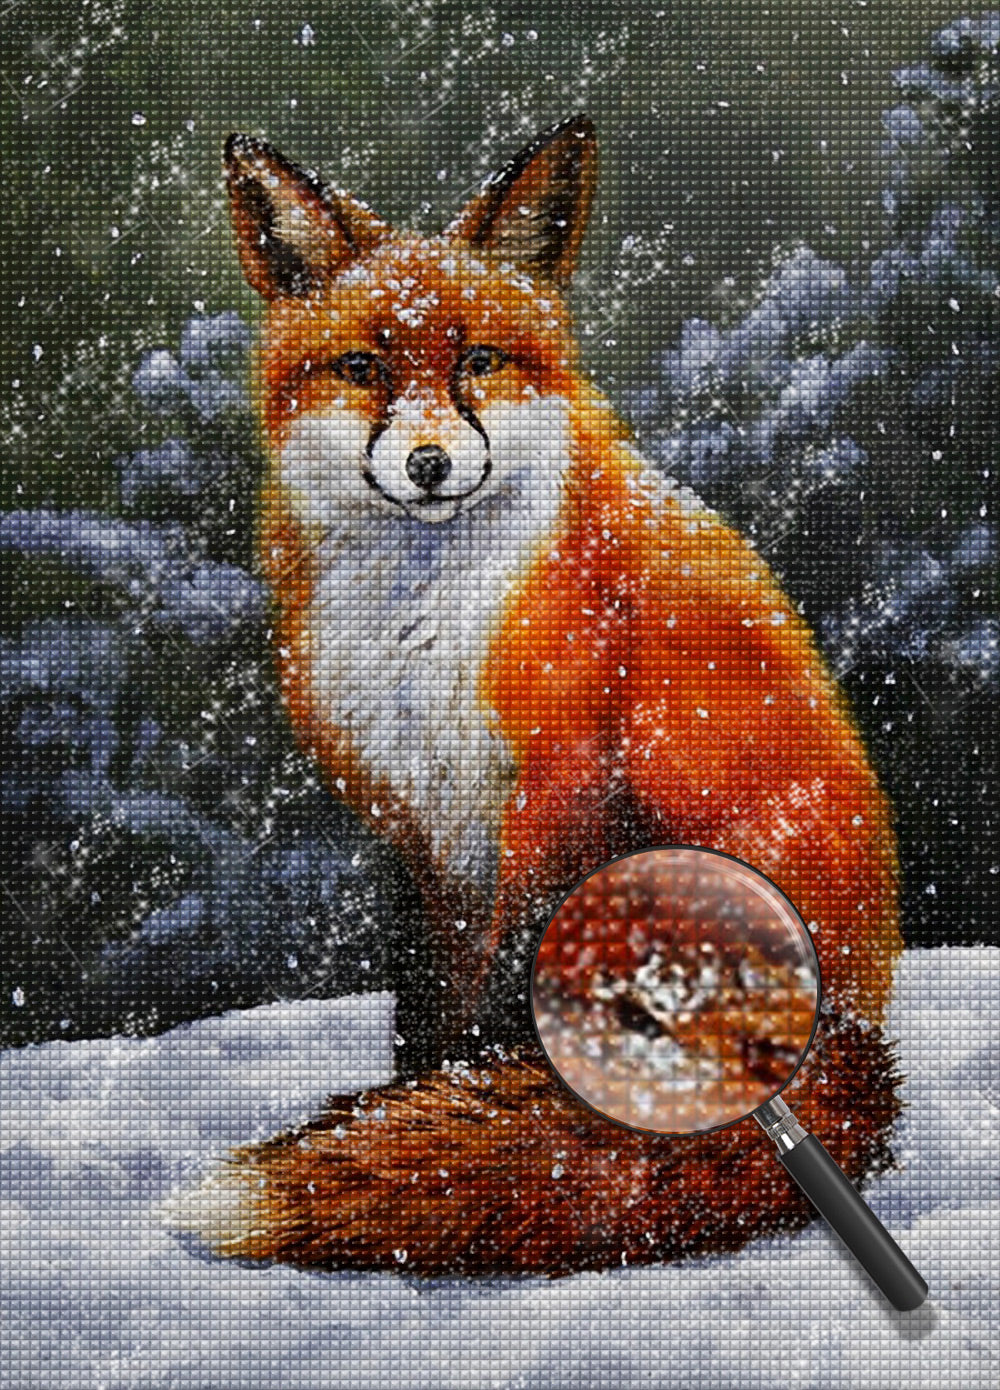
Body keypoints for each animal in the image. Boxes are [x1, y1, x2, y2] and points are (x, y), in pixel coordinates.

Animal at [165, 115, 904, 1276]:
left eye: (478, 361)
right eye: (363, 368)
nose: (429, 464)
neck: (424, 624)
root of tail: (858, 1031)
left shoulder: (559, 783)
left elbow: (501, 997)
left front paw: (464, 1116)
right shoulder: (419, 819)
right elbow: (428, 1002)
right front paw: (413, 1104)